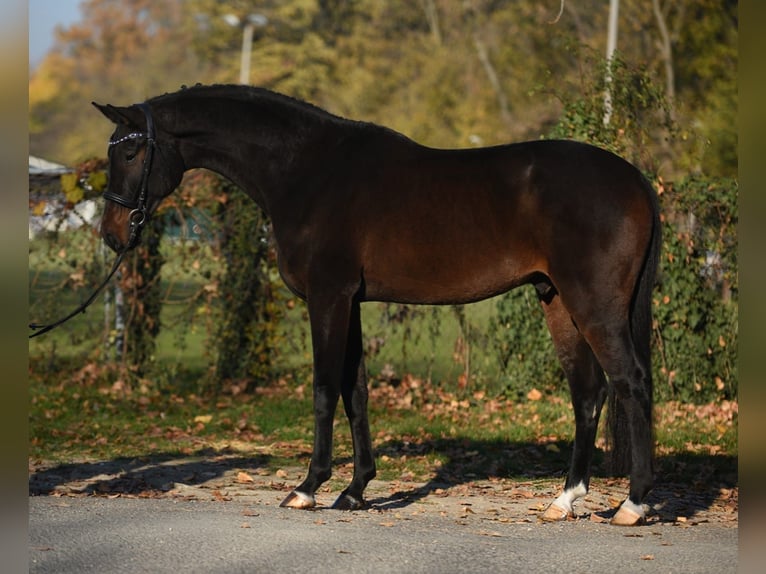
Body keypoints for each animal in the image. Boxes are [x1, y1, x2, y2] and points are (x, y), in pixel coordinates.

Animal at [94, 83, 660, 528]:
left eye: (129, 154)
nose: (112, 235)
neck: (306, 169)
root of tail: (634, 178)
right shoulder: (353, 303)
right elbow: (356, 391)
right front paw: (355, 490)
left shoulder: (329, 297)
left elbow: (325, 389)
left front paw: (307, 487)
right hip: (556, 299)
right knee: (588, 393)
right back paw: (565, 500)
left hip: (594, 304)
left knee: (630, 383)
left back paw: (633, 504)